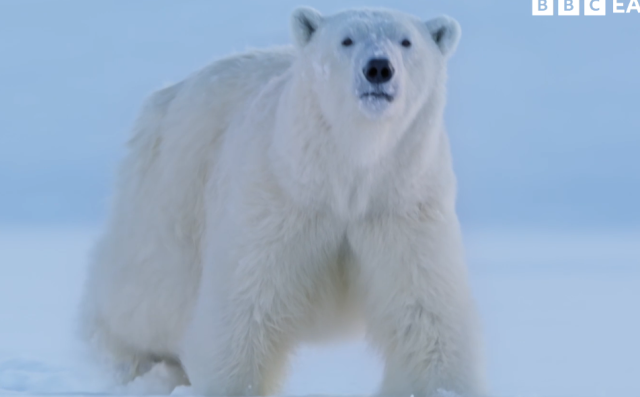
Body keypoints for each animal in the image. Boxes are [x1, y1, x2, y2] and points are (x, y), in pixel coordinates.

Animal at [77, 6, 482, 396]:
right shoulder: (278, 199)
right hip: (172, 189)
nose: (379, 68)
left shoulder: (401, 205)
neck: (345, 176)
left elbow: (425, 311)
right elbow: (247, 305)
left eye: (406, 41)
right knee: (143, 295)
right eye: (347, 39)